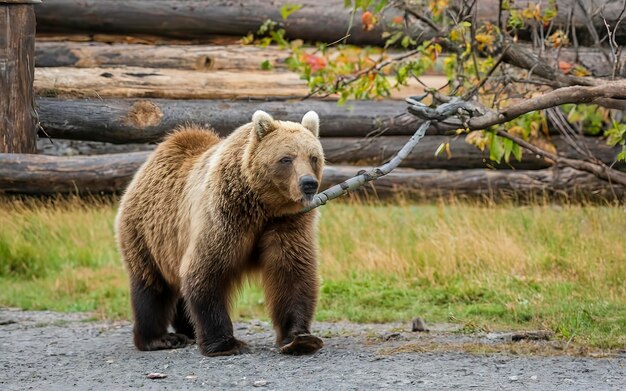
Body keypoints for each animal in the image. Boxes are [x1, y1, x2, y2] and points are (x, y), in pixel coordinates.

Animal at [114, 111, 324, 358]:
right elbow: (207, 271)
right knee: (152, 287)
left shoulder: (287, 223)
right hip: (147, 234)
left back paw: (188, 331)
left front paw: (300, 338)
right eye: (286, 158)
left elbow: (291, 273)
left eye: (313, 157)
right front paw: (226, 344)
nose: (308, 183)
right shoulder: (224, 217)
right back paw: (159, 339)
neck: (262, 206)